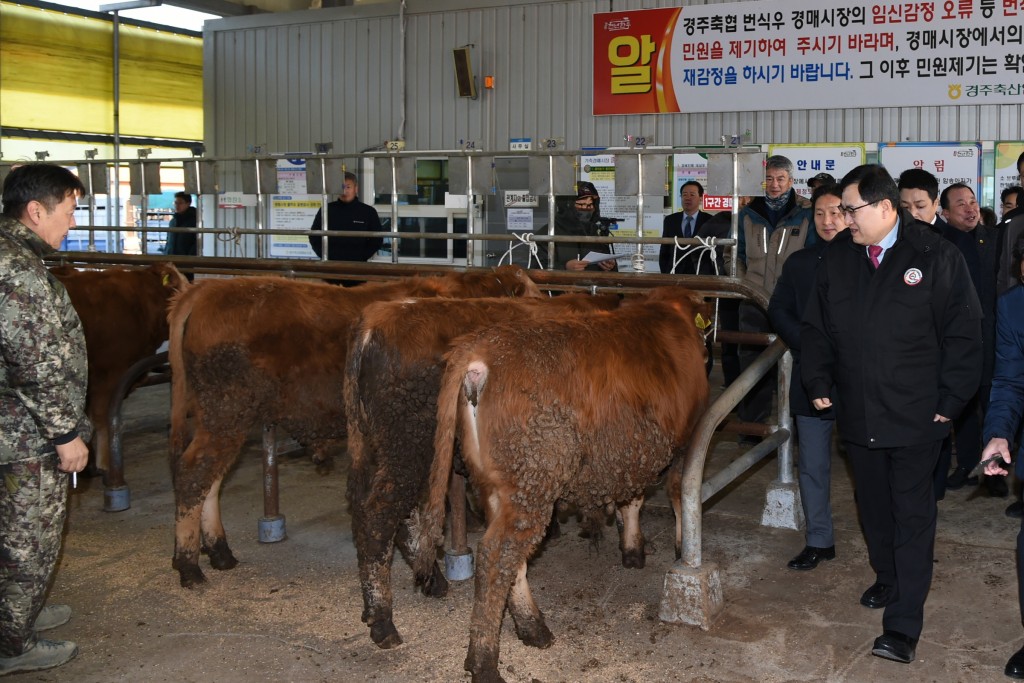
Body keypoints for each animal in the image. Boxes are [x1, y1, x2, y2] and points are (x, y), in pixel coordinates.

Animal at [165, 266, 544, 589]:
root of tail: (206, 289)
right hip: (225, 415)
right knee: (193, 474)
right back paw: (189, 565)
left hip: (222, 419)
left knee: (210, 479)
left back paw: (219, 552)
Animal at [344, 290, 618, 651]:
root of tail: (377, 317)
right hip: (407, 447)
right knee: (378, 516)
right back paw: (383, 621)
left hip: (376, 446)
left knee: (382, 513)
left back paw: (428, 583)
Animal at [411, 286, 708, 683]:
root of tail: (476, 353)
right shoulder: (682, 443)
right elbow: (675, 492)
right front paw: (677, 546)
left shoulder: (631, 449)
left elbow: (632, 498)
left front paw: (632, 548)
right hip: (533, 482)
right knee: (496, 555)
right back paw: (484, 661)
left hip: (501, 487)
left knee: (511, 559)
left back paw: (533, 629)